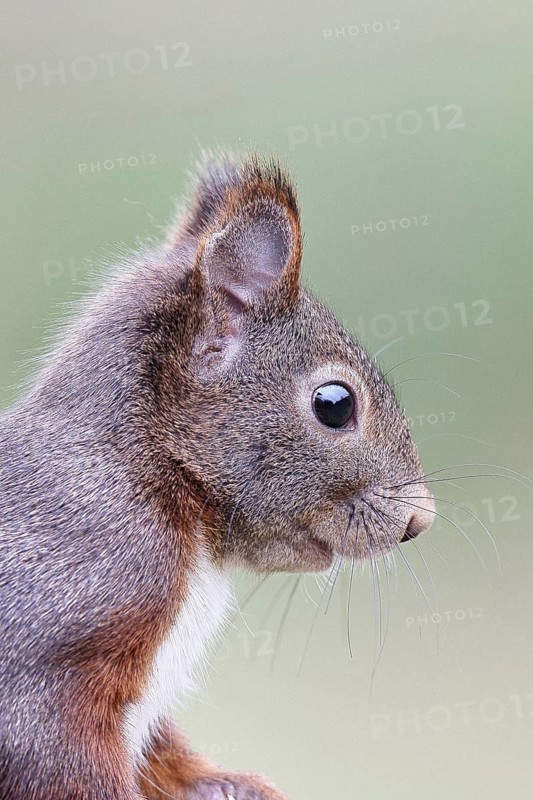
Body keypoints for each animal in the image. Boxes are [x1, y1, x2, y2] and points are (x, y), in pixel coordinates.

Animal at [0, 151, 435, 800]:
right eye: (335, 405)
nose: (419, 518)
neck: (158, 473)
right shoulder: (61, 626)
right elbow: (53, 754)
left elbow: (167, 758)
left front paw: (235, 784)